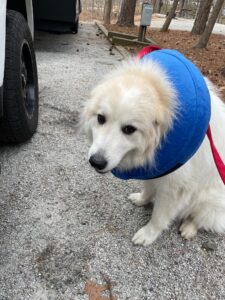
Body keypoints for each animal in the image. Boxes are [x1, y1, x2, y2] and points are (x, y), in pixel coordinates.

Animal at [82, 56, 225, 246]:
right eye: (100, 118)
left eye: (129, 129)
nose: (96, 162)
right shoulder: (156, 171)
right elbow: (148, 188)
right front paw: (142, 200)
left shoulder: (175, 187)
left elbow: (159, 216)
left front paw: (148, 234)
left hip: (208, 199)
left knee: (201, 218)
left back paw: (189, 228)